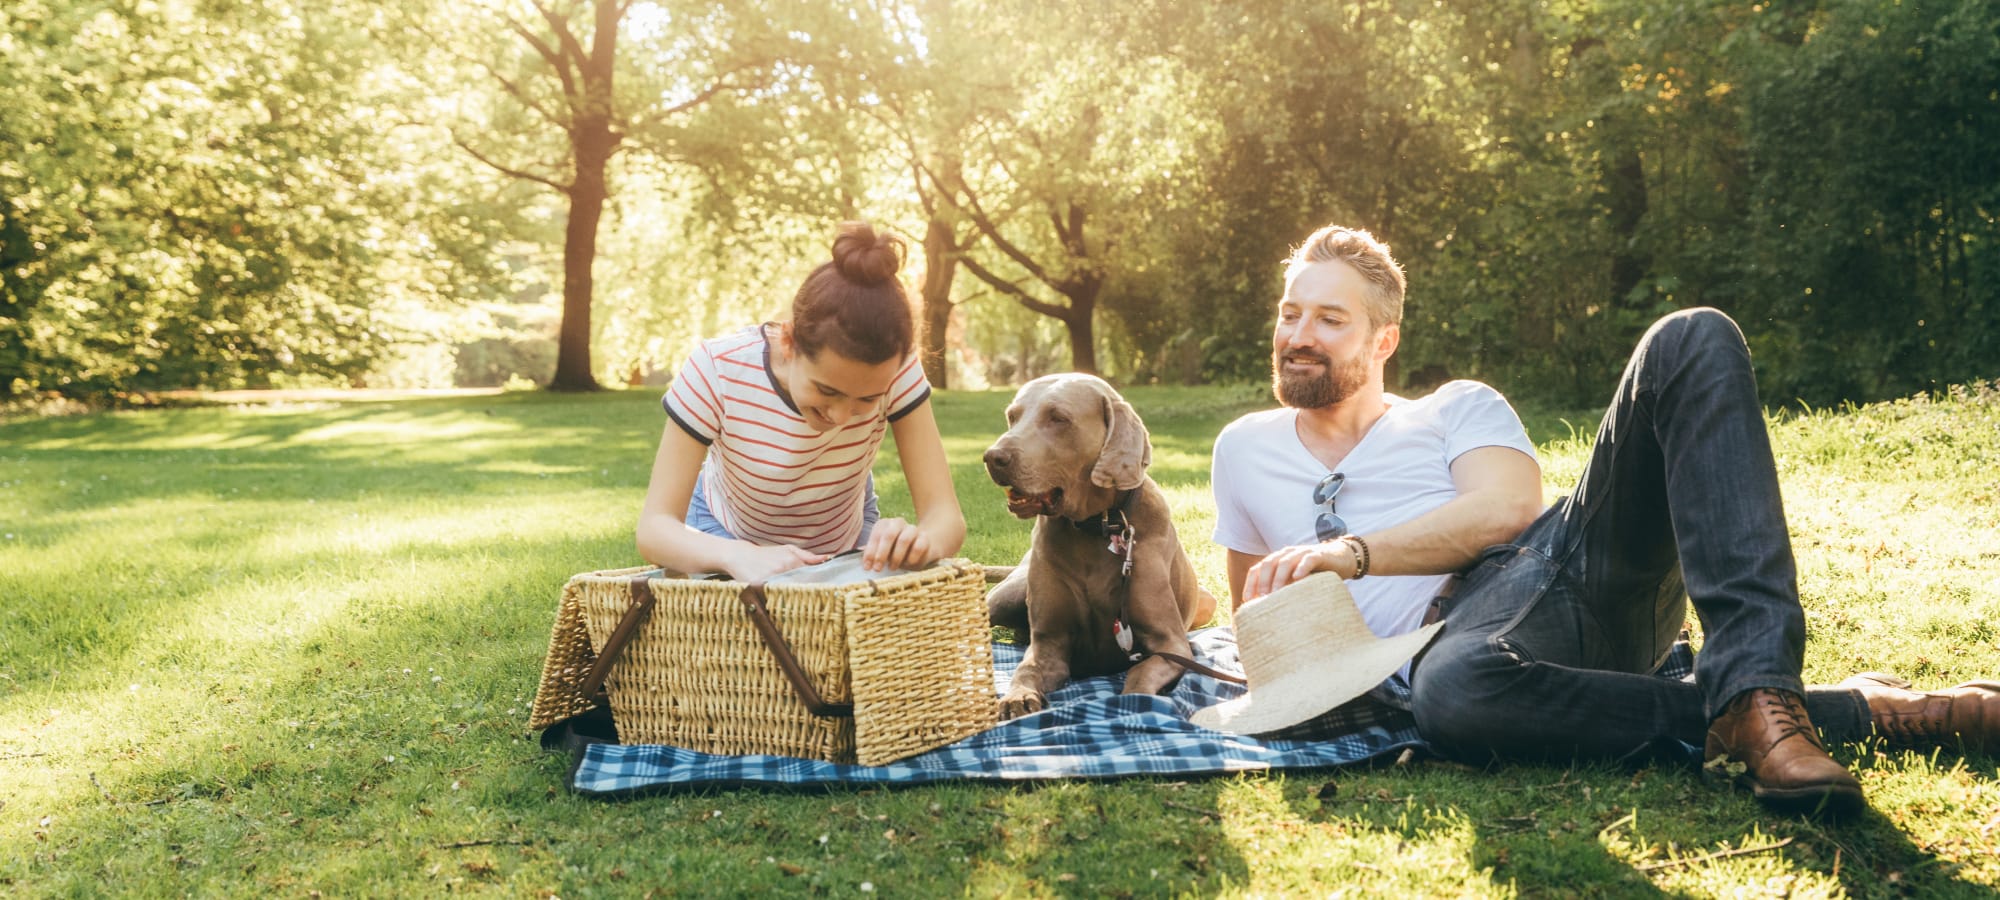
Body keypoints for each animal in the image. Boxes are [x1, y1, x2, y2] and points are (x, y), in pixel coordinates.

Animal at [984, 372, 1216, 716]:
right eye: (1012, 417)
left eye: (1058, 418)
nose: (993, 457)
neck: (1096, 526)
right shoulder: (1048, 644)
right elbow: (1026, 669)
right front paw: (1017, 697)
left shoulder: (1173, 645)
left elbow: (1140, 670)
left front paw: (1136, 701)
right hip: (1007, 595)